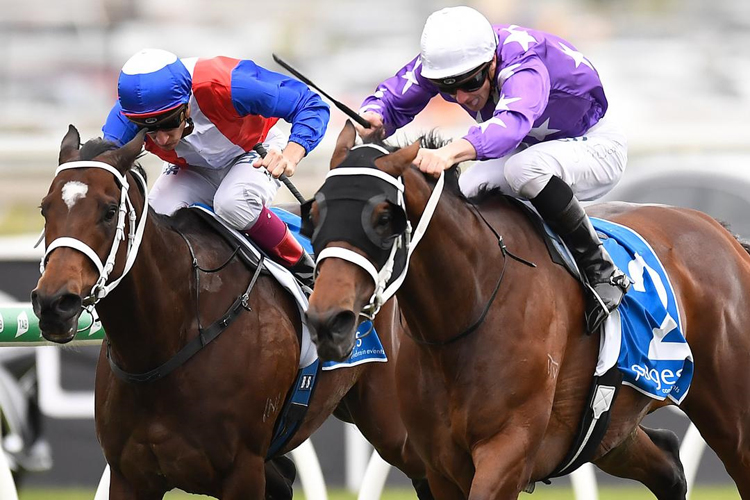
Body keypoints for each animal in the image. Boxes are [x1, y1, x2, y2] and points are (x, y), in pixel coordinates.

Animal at [30, 125, 428, 500]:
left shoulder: (243, 471)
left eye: (110, 210)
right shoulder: (130, 476)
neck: (167, 339)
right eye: (45, 208)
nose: (54, 303)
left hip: (394, 425)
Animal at [306, 122, 750, 500]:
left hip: (733, 416)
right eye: (313, 213)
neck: (468, 306)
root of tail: (721, 231)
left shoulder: (508, 448)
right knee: (668, 462)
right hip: (610, 427)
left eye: (384, 217)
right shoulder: (439, 462)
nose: (329, 321)